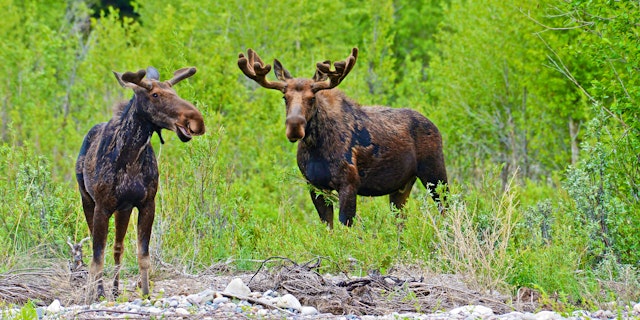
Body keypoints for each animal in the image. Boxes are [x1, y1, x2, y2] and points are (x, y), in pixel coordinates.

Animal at [75, 66, 205, 302]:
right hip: (86, 199)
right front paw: (95, 296)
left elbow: (143, 255)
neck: (132, 157)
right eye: (155, 95)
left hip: (123, 210)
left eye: (174, 91)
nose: (196, 120)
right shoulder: (101, 206)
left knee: (118, 247)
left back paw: (115, 290)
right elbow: (97, 258)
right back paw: (101, 291)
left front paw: (145, 294)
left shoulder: (146, 204)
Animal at [238, 47, 448, 228]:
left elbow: (345, 228)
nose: (294, 127)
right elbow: (328, 228)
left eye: (312, 98)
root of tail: (435, 127)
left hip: (435, 174)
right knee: (401, 221)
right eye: (285, 97)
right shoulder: (315, 186)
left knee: (446, 208)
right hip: (402, 186)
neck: (316, 147)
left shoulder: (348, 184)